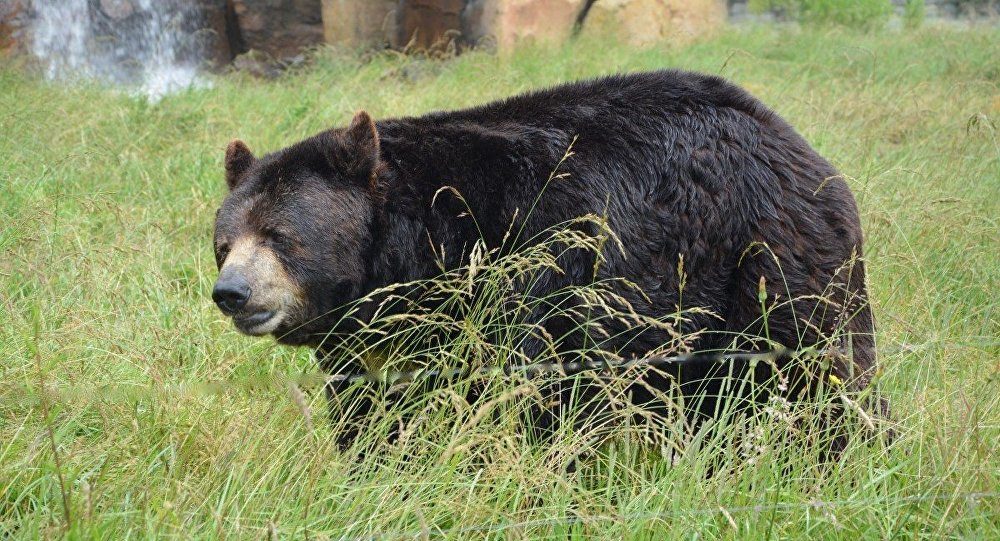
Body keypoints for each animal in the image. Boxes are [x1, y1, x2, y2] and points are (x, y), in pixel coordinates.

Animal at [211, 69, 883, 450]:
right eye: (223, 242)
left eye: (279, 235)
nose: (232, 293)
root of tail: (792, 139)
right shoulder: (374, 348)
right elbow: (372, 415)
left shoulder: (530, 277)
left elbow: (522, 400)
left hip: (766, 261)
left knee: (816, 373)